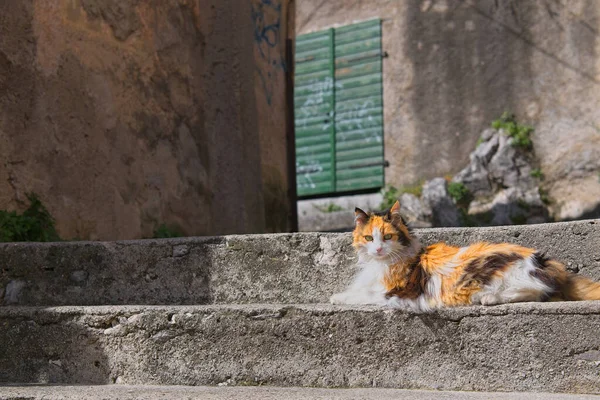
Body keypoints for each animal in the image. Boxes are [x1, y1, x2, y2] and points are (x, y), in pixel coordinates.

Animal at [330, 200, 600, 310]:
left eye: (387, 237)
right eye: (369, 238)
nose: (377, 249)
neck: (380, 263)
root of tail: (541, 260)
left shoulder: (394, 291)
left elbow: (360, 295)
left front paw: (336, 298)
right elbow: (356, 290)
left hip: (495, 273)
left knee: (535, 292)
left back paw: (488, 298)